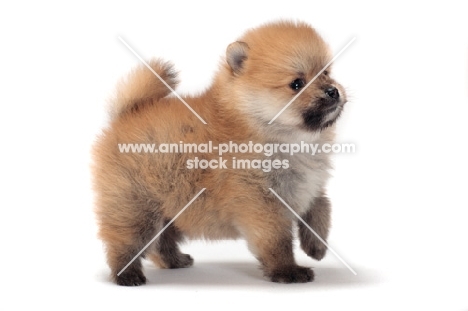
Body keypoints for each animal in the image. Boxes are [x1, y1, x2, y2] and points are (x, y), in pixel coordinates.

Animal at [92, 20, 348, 286]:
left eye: (326, 73)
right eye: (297, 84)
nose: (332, 90)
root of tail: (126, 115)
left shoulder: (308, 186)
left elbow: (321, 207)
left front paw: (316, 246)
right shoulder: (261, 204)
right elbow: (276, 241)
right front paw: (287, 271)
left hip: (168, 209)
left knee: (161, 240)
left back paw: (174, 260)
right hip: (134, 207)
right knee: (125, 243)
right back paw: (127, 274)